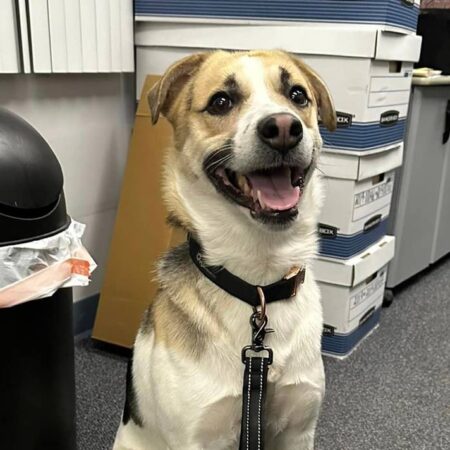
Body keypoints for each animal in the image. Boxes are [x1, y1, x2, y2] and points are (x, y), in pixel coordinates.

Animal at [114, 50, 336, 450]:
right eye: (221, 102)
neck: (259, 284)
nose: (284, 127)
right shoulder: (198, 435)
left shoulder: (298, 430)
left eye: (297, 95)